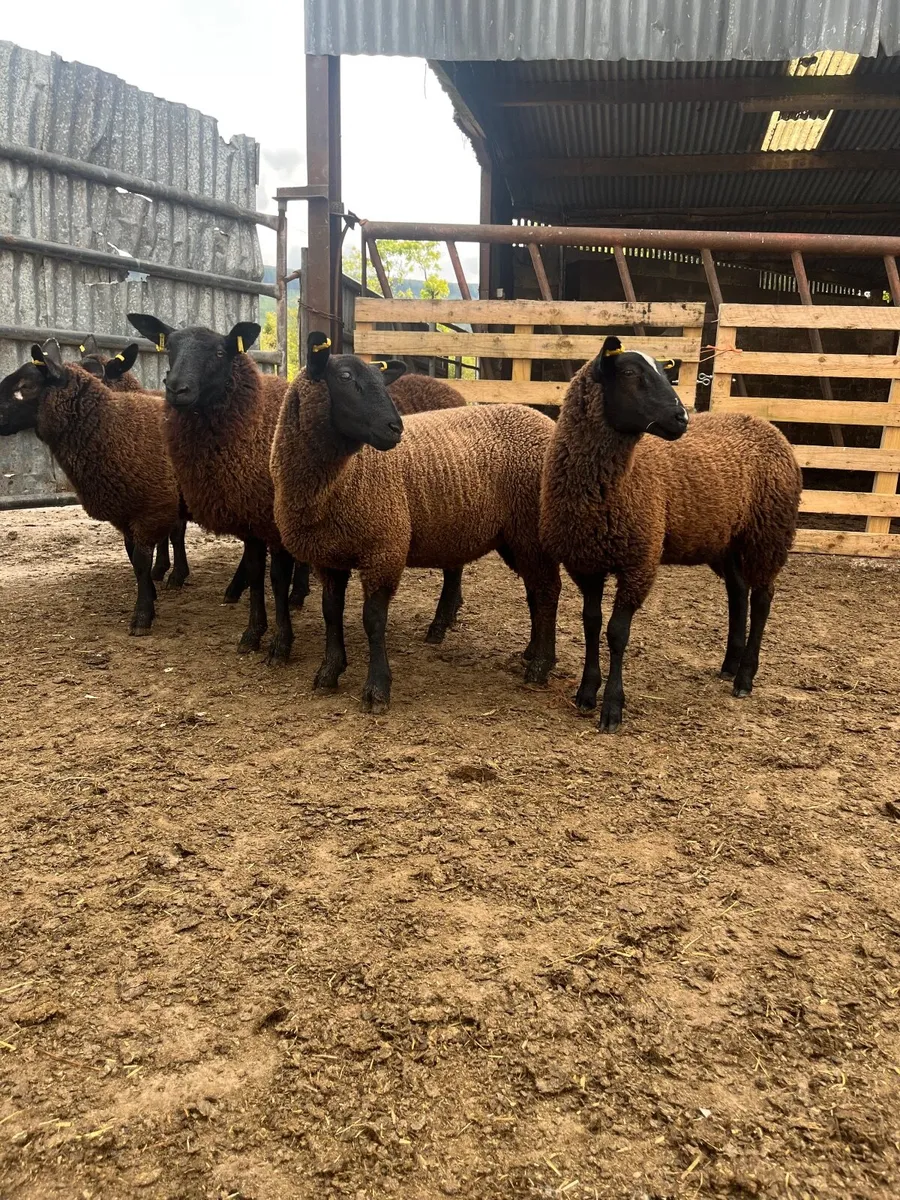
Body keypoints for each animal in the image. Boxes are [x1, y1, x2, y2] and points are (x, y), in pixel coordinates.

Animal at [0, 341, 185, 634]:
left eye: (26, 386)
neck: (114, 427)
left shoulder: (152, 508)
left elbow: (142, 561)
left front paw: (142, 616)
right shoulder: (126, 512)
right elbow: (133, 559)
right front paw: (150, 596)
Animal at [126, 313, 311, 663]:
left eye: (220, 353)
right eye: (169, 348)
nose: (176, 389)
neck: (254, 422)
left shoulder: (272, 521)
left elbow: (277, 579)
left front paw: (281, 644)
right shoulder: (250, 519)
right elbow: (255, 573)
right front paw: (252, 634)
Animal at [270, 333, 561, 714]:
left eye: (383, 382)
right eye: (345, 377)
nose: (395, 428)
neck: (343, 478)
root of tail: (543, 421)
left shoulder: (384, 547)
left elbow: (373, 620)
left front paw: (377, 689)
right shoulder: (327, 556)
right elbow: (331, 612)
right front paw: (328, 672)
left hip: (530, 529)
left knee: (548, 590)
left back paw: (540, 666)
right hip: (515, 536)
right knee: (536, 590)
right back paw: (533, 654)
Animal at [540, 335, 802, 733]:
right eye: (630, 373)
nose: (682, 418)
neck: (617, 482)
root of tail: (766, 425)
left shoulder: (640, 560)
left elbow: (617, 633)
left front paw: (612, 707)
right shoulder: (585, 562)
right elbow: (591, 623)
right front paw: (586, 692)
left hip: (768, 534)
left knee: (762, 599)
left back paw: (745, 678)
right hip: (726, 540)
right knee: (738, 592)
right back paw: (730, 665)